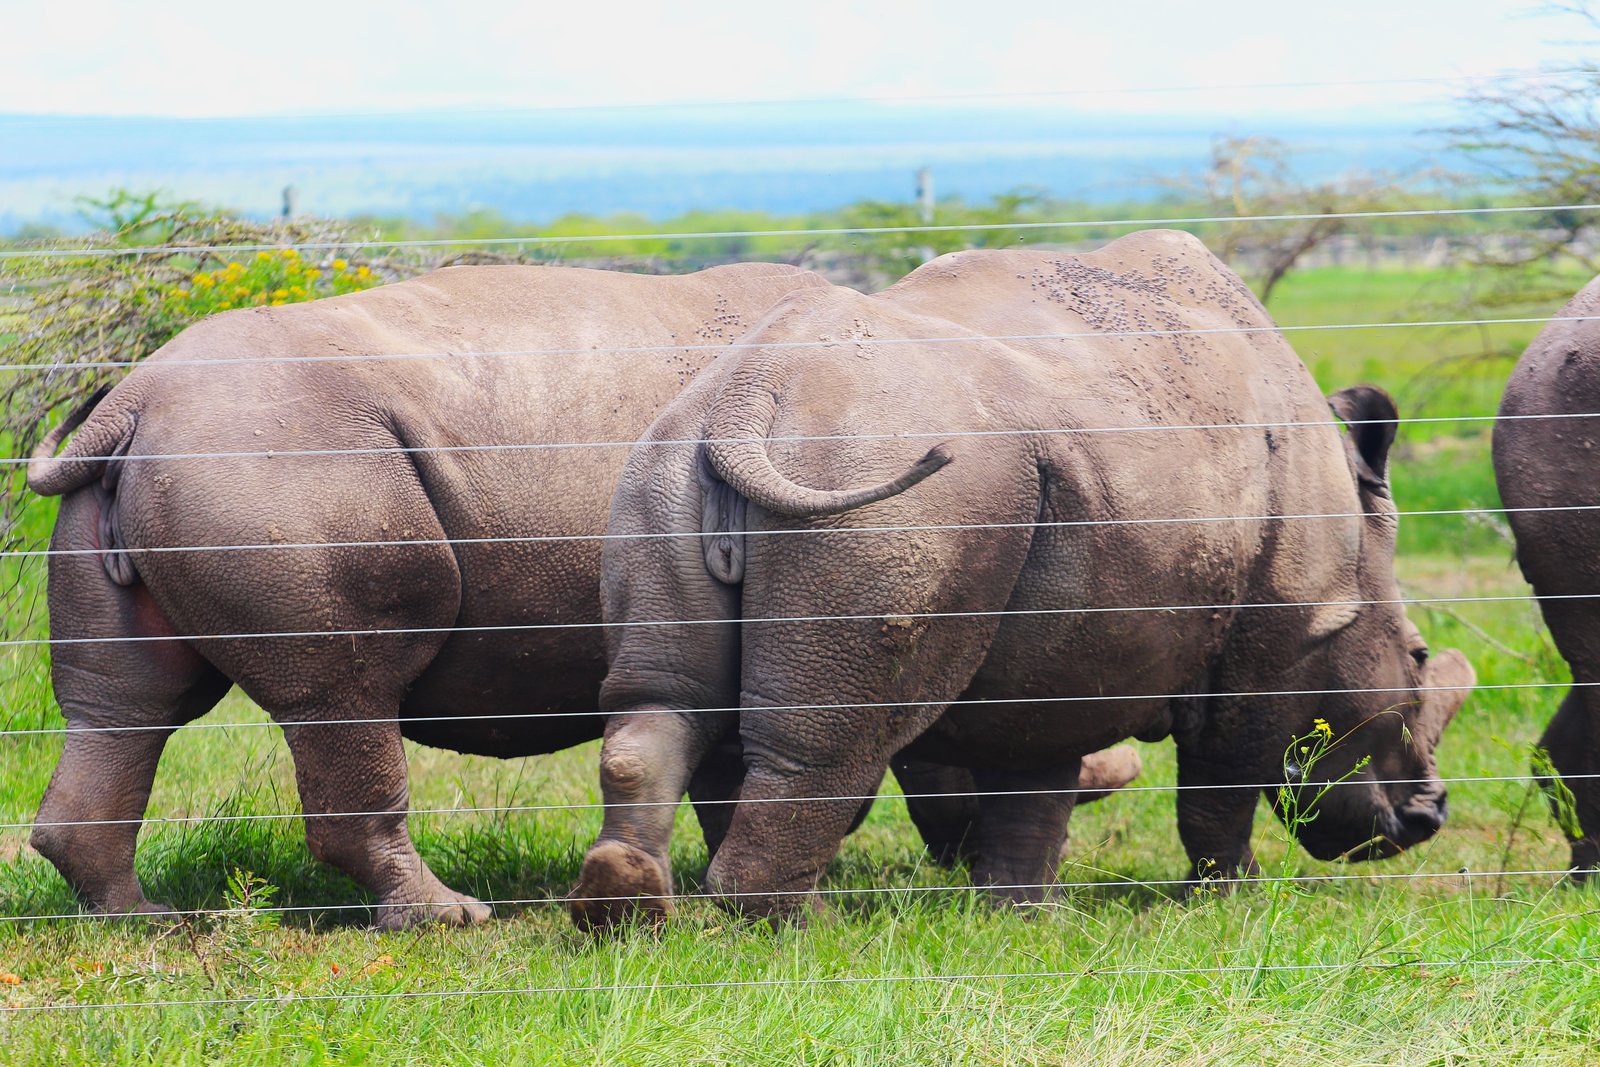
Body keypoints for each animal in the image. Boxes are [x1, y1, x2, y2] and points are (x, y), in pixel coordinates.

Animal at [25, 261, 1139, 928]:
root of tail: (131, 401)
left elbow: (720, 765)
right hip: (276, 460)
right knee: (342, 693)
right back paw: (451, 920)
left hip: (175, 464)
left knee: (127, 704)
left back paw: (142, 923)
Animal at [573, 230, 1475, 927]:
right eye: (1419, 656)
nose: (1429, 815)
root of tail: (752, 393)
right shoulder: (1277, 635)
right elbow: (1222, 781)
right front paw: (1233, 900)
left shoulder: (1063, 650)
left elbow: (1033, 772)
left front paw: (1025, 913)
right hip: (895, 486)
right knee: (835, 736)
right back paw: (803, 927)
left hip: (665, 464)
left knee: (668, 700)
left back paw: (626, 908)